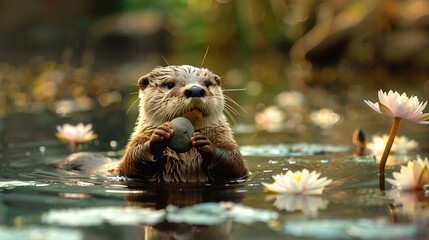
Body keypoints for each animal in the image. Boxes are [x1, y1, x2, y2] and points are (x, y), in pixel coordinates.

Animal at [114, 65, 247, 182]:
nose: (195, 90)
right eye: (170, 84)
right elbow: (132, 160)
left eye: (207, 83)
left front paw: (207, 144)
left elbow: (235, 162)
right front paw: (158, 137)